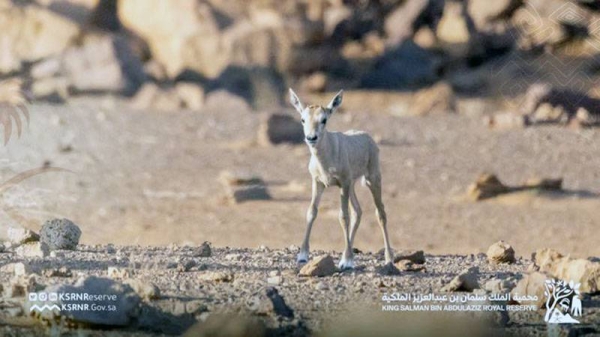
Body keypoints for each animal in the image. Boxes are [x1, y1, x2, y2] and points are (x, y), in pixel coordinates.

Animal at [290, 88, 394, 268]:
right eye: (303, 119)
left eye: (324, 119)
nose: (311, 138)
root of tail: (368, 138)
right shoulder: (318, 183)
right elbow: (312, 212)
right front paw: (302, 255)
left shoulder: (342, 183)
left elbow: (343, 216)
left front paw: (346, 261)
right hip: (351, 185)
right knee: (357, 211)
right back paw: (350, 251)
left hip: (371, 179)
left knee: (380, 212)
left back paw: (388, 257)